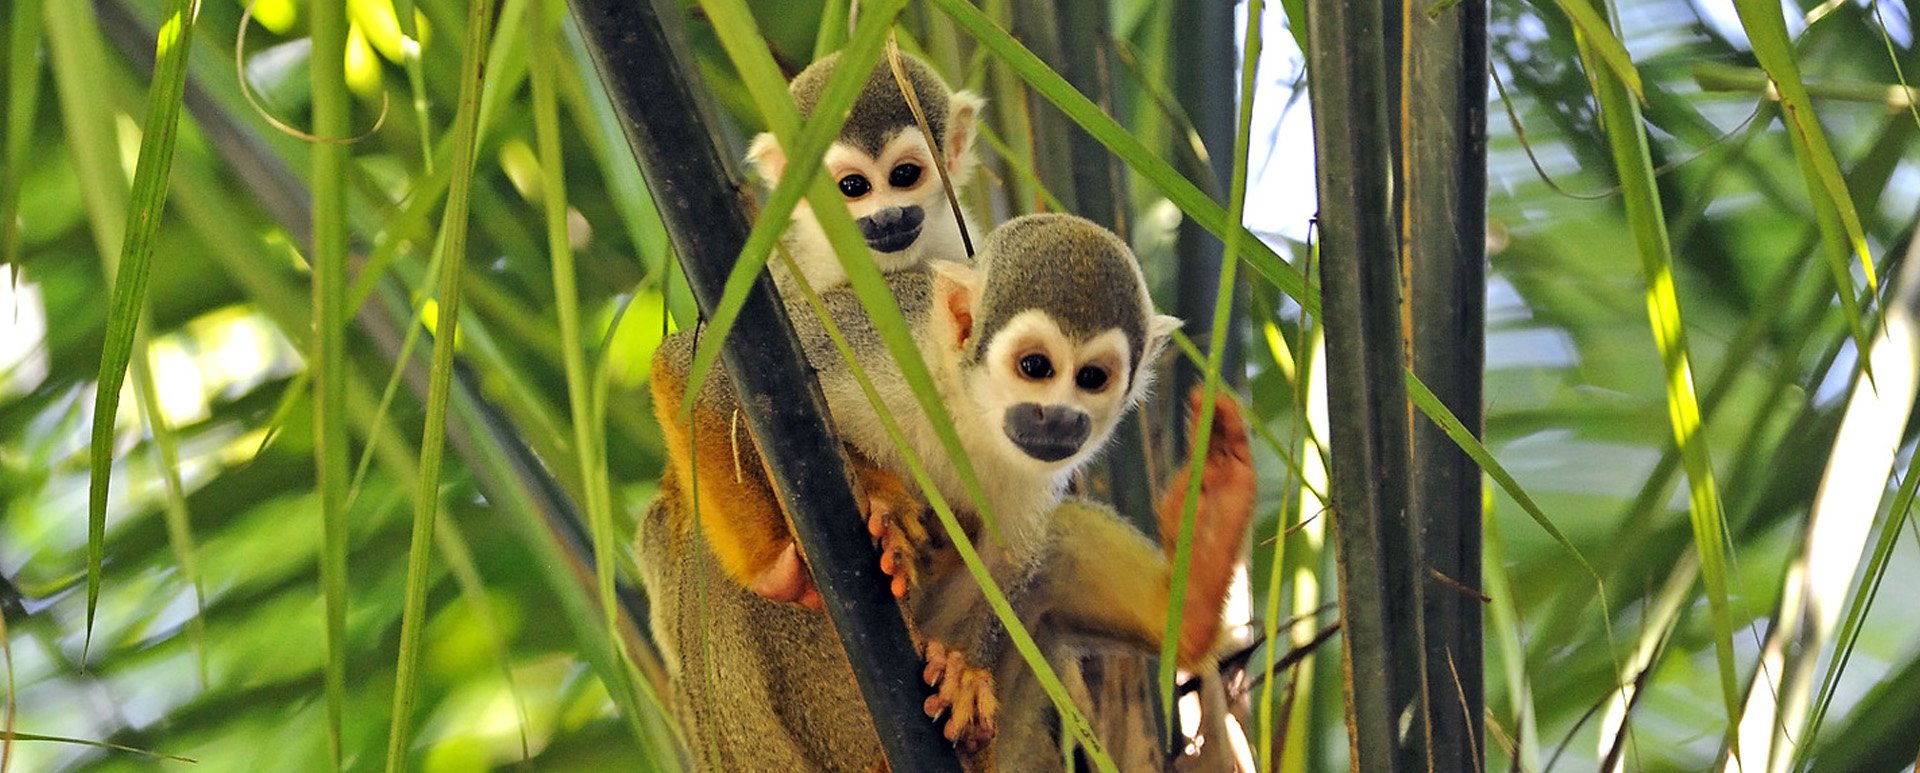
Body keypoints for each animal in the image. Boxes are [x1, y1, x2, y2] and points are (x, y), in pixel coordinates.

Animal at [637, 211, 1251, 767]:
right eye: (1036, 366)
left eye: (1092, 379)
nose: (1060, 419)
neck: (966, 409)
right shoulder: (873, 338)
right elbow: (702, 374)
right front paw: (787, 564)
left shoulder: (1034, 472)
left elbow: (1009, 567)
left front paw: (962, 675)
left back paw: (1196, 585)